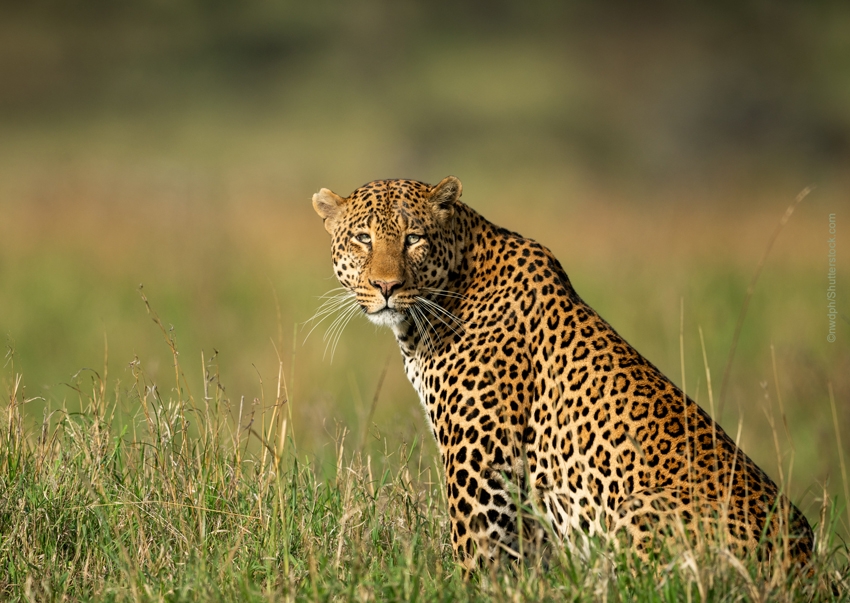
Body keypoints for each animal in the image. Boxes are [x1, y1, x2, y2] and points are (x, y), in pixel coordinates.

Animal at [308, 175, 812, 572]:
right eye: (362, 238)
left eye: (414, 238)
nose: (386, 286)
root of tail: (805, 565)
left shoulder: (482, 464)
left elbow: (477, 554)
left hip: (639, 509)